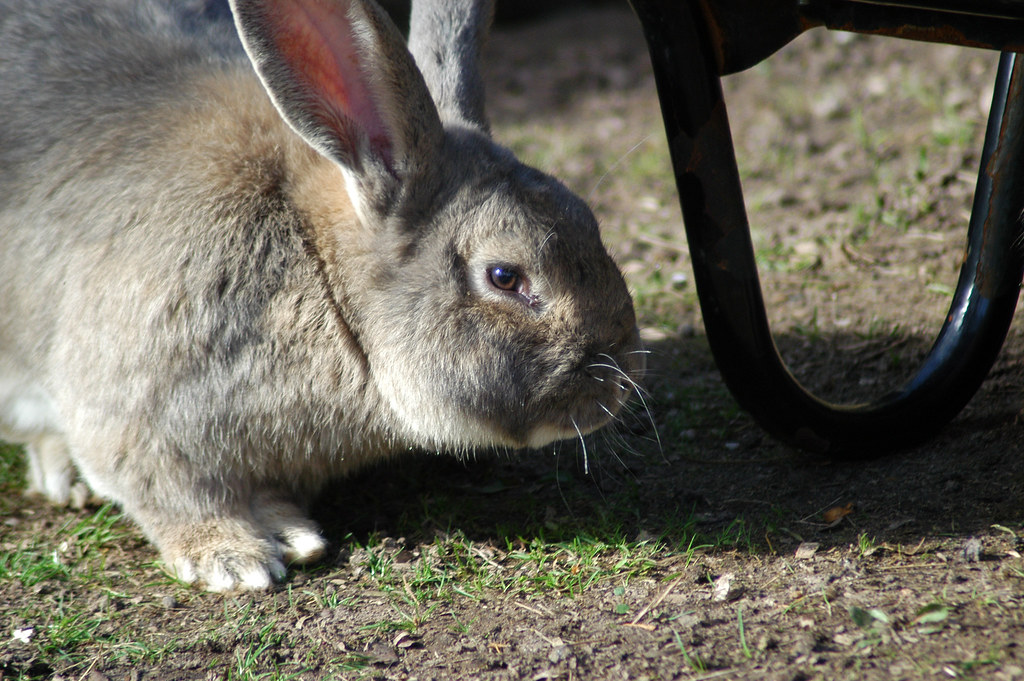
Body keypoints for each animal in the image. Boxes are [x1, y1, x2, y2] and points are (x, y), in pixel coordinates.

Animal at [0, 0, 644, 592]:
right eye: (505, 276)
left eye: (589, 220)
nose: (619, 380)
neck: (323, 278)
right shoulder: (136, 416)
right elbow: (171, 495)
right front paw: (235, 559)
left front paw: (290, 532)